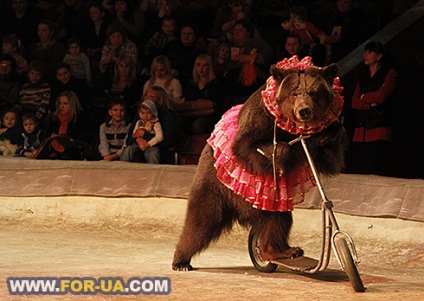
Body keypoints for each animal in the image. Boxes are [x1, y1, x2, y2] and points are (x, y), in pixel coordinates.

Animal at [172, 55, 348, 270]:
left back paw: (283, 250)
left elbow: (330, 159)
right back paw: (181, 260)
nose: (304, 111)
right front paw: (282, 162)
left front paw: (330, 131)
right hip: (217, 184)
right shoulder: (260, 116)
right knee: (202, 220)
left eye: (314, 93)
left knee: (278, 218)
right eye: (294, 93)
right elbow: (247, 144)